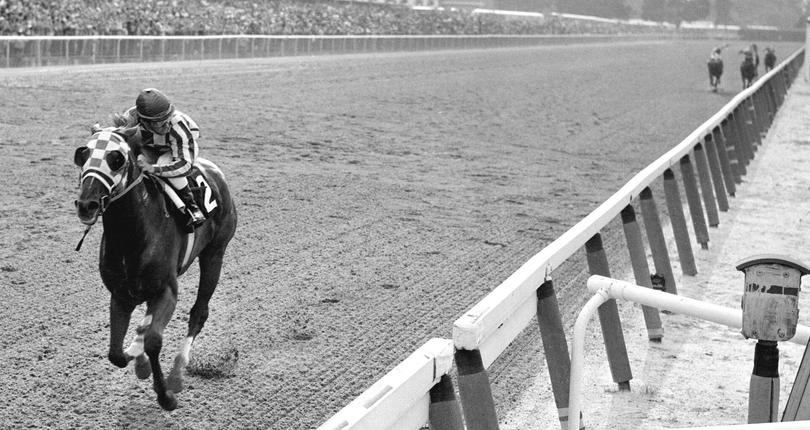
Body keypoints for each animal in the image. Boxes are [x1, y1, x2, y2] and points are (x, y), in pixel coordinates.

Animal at [71, 125, 237, 410]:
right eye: (83, 154)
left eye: (116, 159)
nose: (86, 204)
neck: (131, 235)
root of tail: (215, 171)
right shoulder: (121, 295)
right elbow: (116, 353)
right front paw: (138, 360)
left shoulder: (167, 291)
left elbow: (153, 341)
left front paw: (165, 395)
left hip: (215, 254)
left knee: (199, 312)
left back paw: (177, 373)